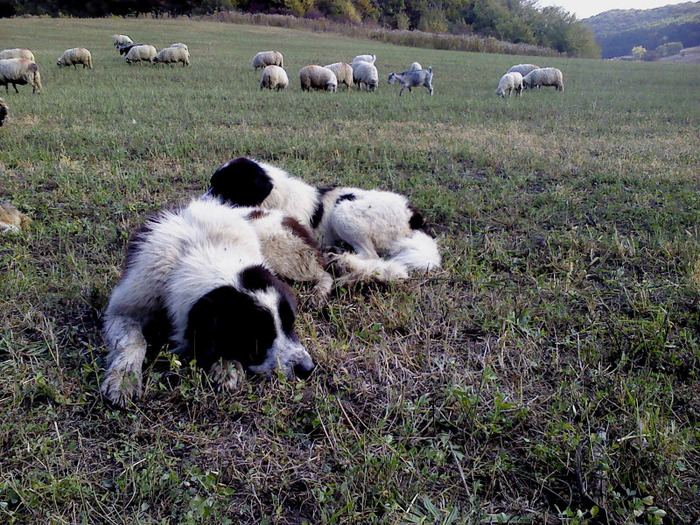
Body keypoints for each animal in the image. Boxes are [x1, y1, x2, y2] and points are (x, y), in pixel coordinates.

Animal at [205, 158, 440, 284]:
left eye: (224, 187)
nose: (202, 202)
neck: (273, 198)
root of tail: (414, 217)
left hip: (343, 210)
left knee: (370, 254)